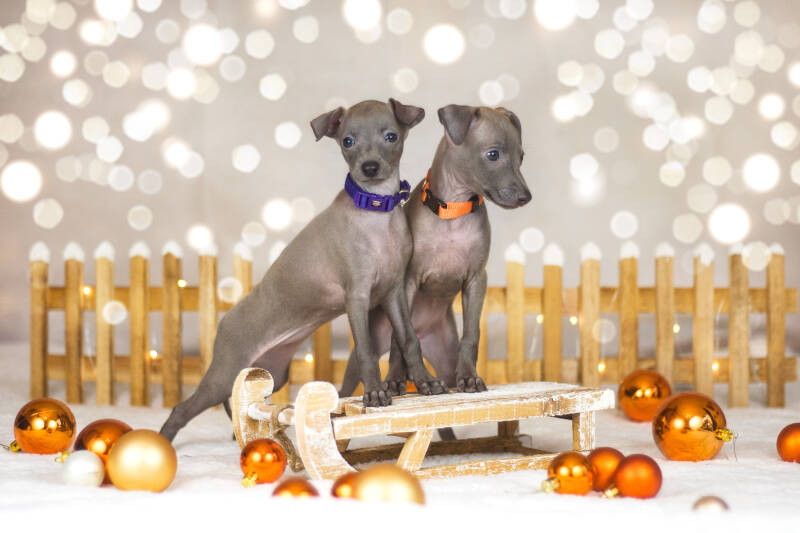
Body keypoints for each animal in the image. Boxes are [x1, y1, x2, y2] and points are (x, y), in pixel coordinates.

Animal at [160, 99, 447, 441]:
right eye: (348, 141)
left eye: (391, 136)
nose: (369, 168)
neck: (376, 213)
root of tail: (225, 322)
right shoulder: (357, 297)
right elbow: (365, 350)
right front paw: (375, 393)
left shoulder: (394, 293)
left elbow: (409, 340)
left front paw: (425, 380)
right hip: (223, 374)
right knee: (183, 408)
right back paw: (163, 440)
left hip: (272, 373)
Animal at [339, 105, 531, 400]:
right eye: (493, 155)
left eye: (521, 157)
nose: (526, 197)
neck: (453, 211)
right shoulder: (407, 281)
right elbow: (400, 339)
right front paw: (395, 380)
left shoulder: (476, 279)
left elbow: (471, 334)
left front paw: (470, 377)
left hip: (444, 354)